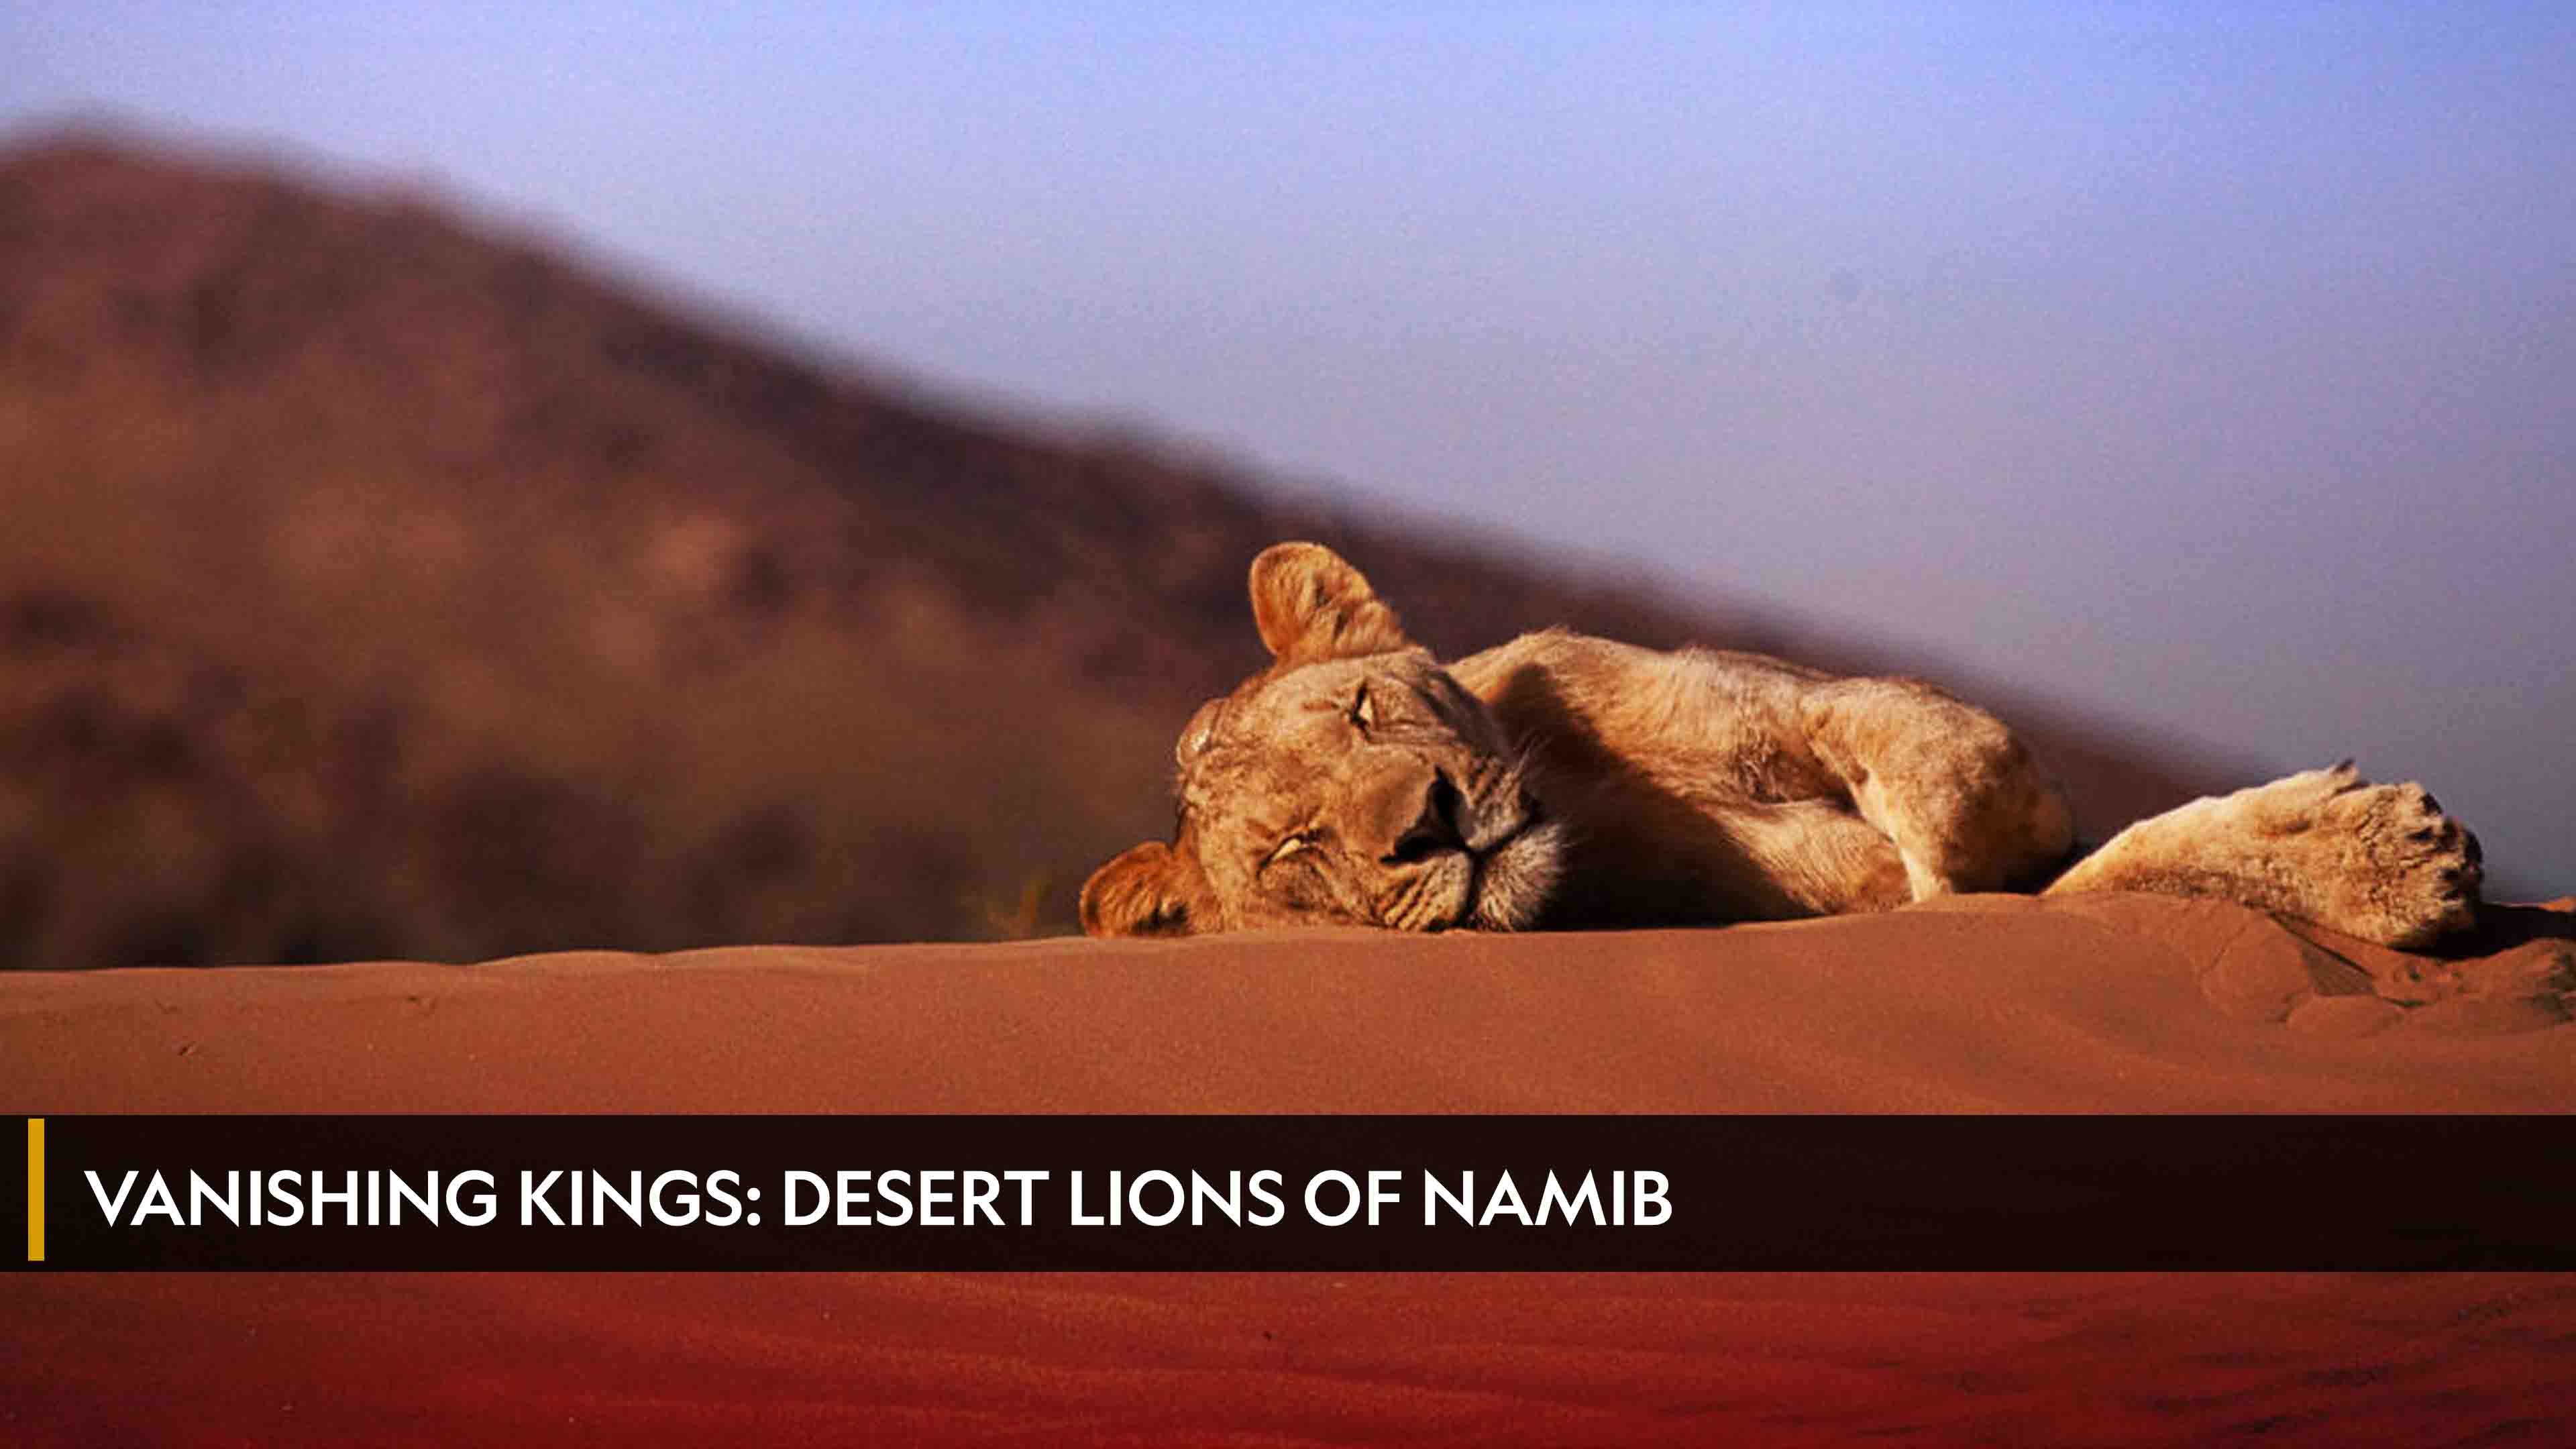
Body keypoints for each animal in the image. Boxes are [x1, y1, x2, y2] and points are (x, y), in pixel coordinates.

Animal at [1080, 542, 2485, 948]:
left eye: (1366, 710)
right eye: (1296, 848)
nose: (1429, 819)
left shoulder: (1782, 697)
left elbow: (1933, 768)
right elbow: (2088, 885)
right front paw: (2382, 860)